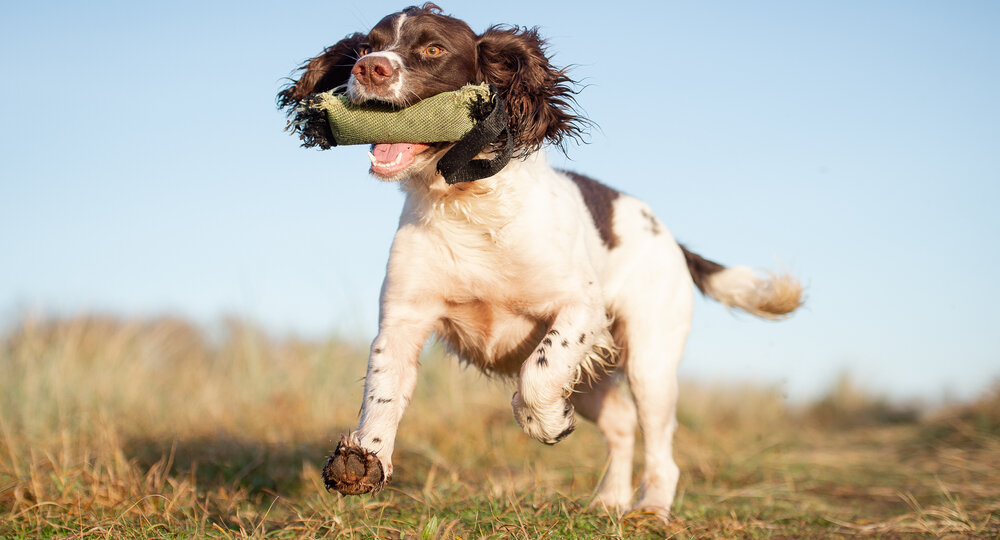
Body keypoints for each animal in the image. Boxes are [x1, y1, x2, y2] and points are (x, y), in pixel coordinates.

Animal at [276, 2, 804, 520]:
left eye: (433, 49)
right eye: (368, 45)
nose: (369, 68)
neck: (470, 204)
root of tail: (671, 237)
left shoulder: (581, 308)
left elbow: (538, 373)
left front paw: (544, 423)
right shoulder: (402, 319)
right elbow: (383, 391)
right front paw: (363, 459)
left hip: (650, 360)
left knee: (659, 444)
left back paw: (651, 508)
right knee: (621, 424)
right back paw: (609, 500)